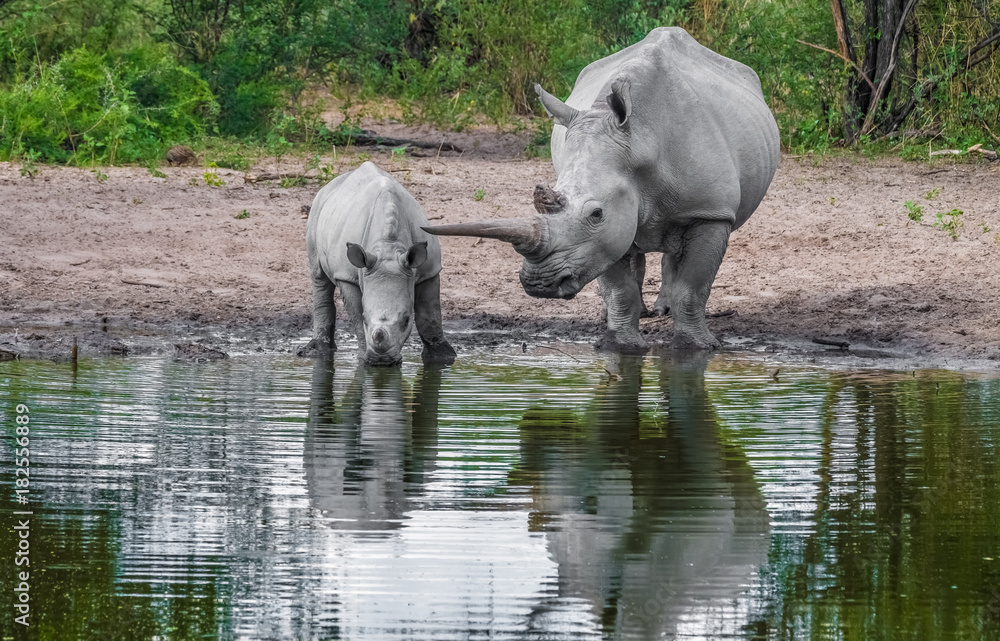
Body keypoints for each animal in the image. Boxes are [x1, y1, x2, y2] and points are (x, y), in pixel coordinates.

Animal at [305, 162, 456, 365]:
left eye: (406, 320)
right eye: (365, 318)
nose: (381, 361)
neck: (388, 247)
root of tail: (329, 185)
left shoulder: (429, 271)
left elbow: (429, 315)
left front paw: (443, 356)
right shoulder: (347, 276)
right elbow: (355, 316)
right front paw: (363, 358)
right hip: (317, 208)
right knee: (318, 275)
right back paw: (316, 350)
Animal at [426, 28, 779, 351]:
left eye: (596, 213)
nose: (540, 284)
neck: (640, 143)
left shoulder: (710, 212)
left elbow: (693, 287)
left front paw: (697, 347)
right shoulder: (605, 231)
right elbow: (620, 286)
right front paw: (622, 346)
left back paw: (661, 310)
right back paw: (615, 314)